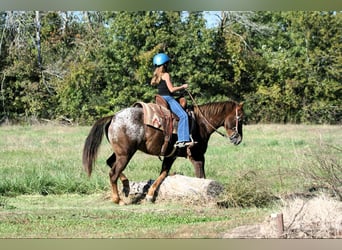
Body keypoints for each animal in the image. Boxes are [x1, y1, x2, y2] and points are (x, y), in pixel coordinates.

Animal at [82, 98, 243, 204]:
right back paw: (118, 199)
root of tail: (114, 117)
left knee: (109, 162)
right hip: (125, 154)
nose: (238, 139)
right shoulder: (197, 157)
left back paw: (127, 186)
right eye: (240, 118)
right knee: (113, 173)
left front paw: (150, 194)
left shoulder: (170, 155)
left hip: (120, 153)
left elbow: (163, 173)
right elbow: (200, 177)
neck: (199, 123)